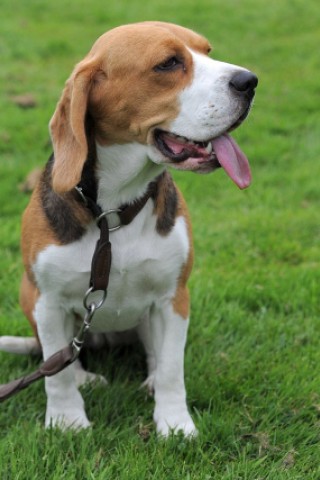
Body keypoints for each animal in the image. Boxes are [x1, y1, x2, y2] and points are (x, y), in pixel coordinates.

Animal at [0, 21, 256, 436]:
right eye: (168, 63)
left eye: (208, 51)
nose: (250, 81)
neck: (114, 211)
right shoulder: (47, 301)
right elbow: (57, 375)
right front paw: (68, 420)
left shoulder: (173, 298)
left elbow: (171, 368)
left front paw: (174, 423)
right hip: (30, 299)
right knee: (65, 358)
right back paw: (85, 377)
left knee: (155, 354)